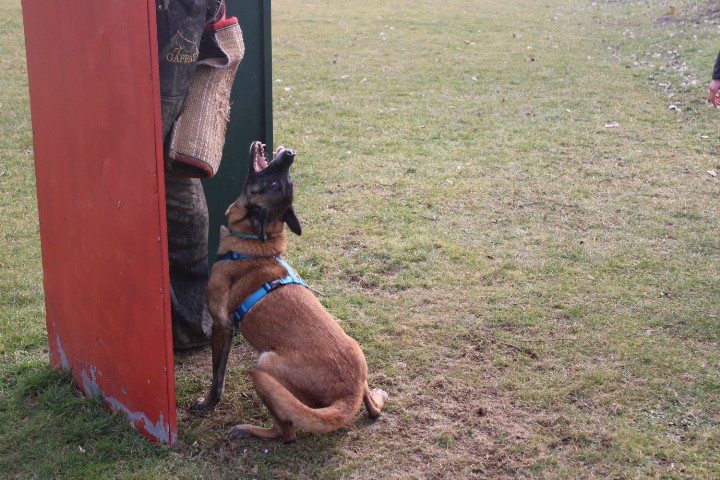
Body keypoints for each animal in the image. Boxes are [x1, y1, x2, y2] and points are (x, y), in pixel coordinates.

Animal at [191, 142, 388, 442]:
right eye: (282, 182)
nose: (290, 155)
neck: (254, 243)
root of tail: (347, 396)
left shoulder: (221, 326)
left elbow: (218, 377)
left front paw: (207, 404)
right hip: (355, 350)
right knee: (373, 409)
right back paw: (376, 397)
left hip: (265, 366)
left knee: (286, 432)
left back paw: (247, 430)